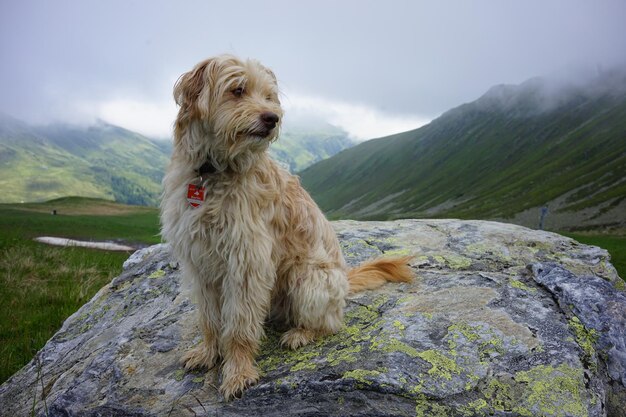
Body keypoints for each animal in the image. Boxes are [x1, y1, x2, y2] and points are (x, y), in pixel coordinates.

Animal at [161, 55, 412, 400]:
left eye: (269, 96)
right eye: (237, 89)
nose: (272, 118)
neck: (214, 171)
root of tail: (345, 280)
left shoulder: (247, 261)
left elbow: (238, 326)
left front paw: (238, 372)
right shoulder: (200, 263)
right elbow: (210, 319)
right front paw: (208, 353)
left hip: (307, 278)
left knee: (329, 323)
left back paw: (300, 334)